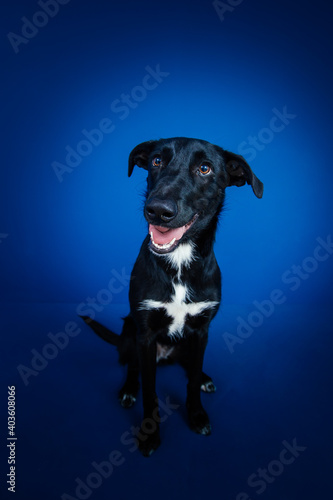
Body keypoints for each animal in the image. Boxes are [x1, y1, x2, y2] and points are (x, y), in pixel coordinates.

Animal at [80, 137, 262, 458]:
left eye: (205, 168)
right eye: (156, 161)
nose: (157, 210)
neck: (178, 259)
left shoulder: (202, 330)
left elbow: (192, 378)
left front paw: (197, 414)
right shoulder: (145, 334)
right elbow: (150, 391)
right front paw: (149, 433)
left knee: (191, 366)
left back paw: (204, 378)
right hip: (130, 331)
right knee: (133, 366)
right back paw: (128, 389)